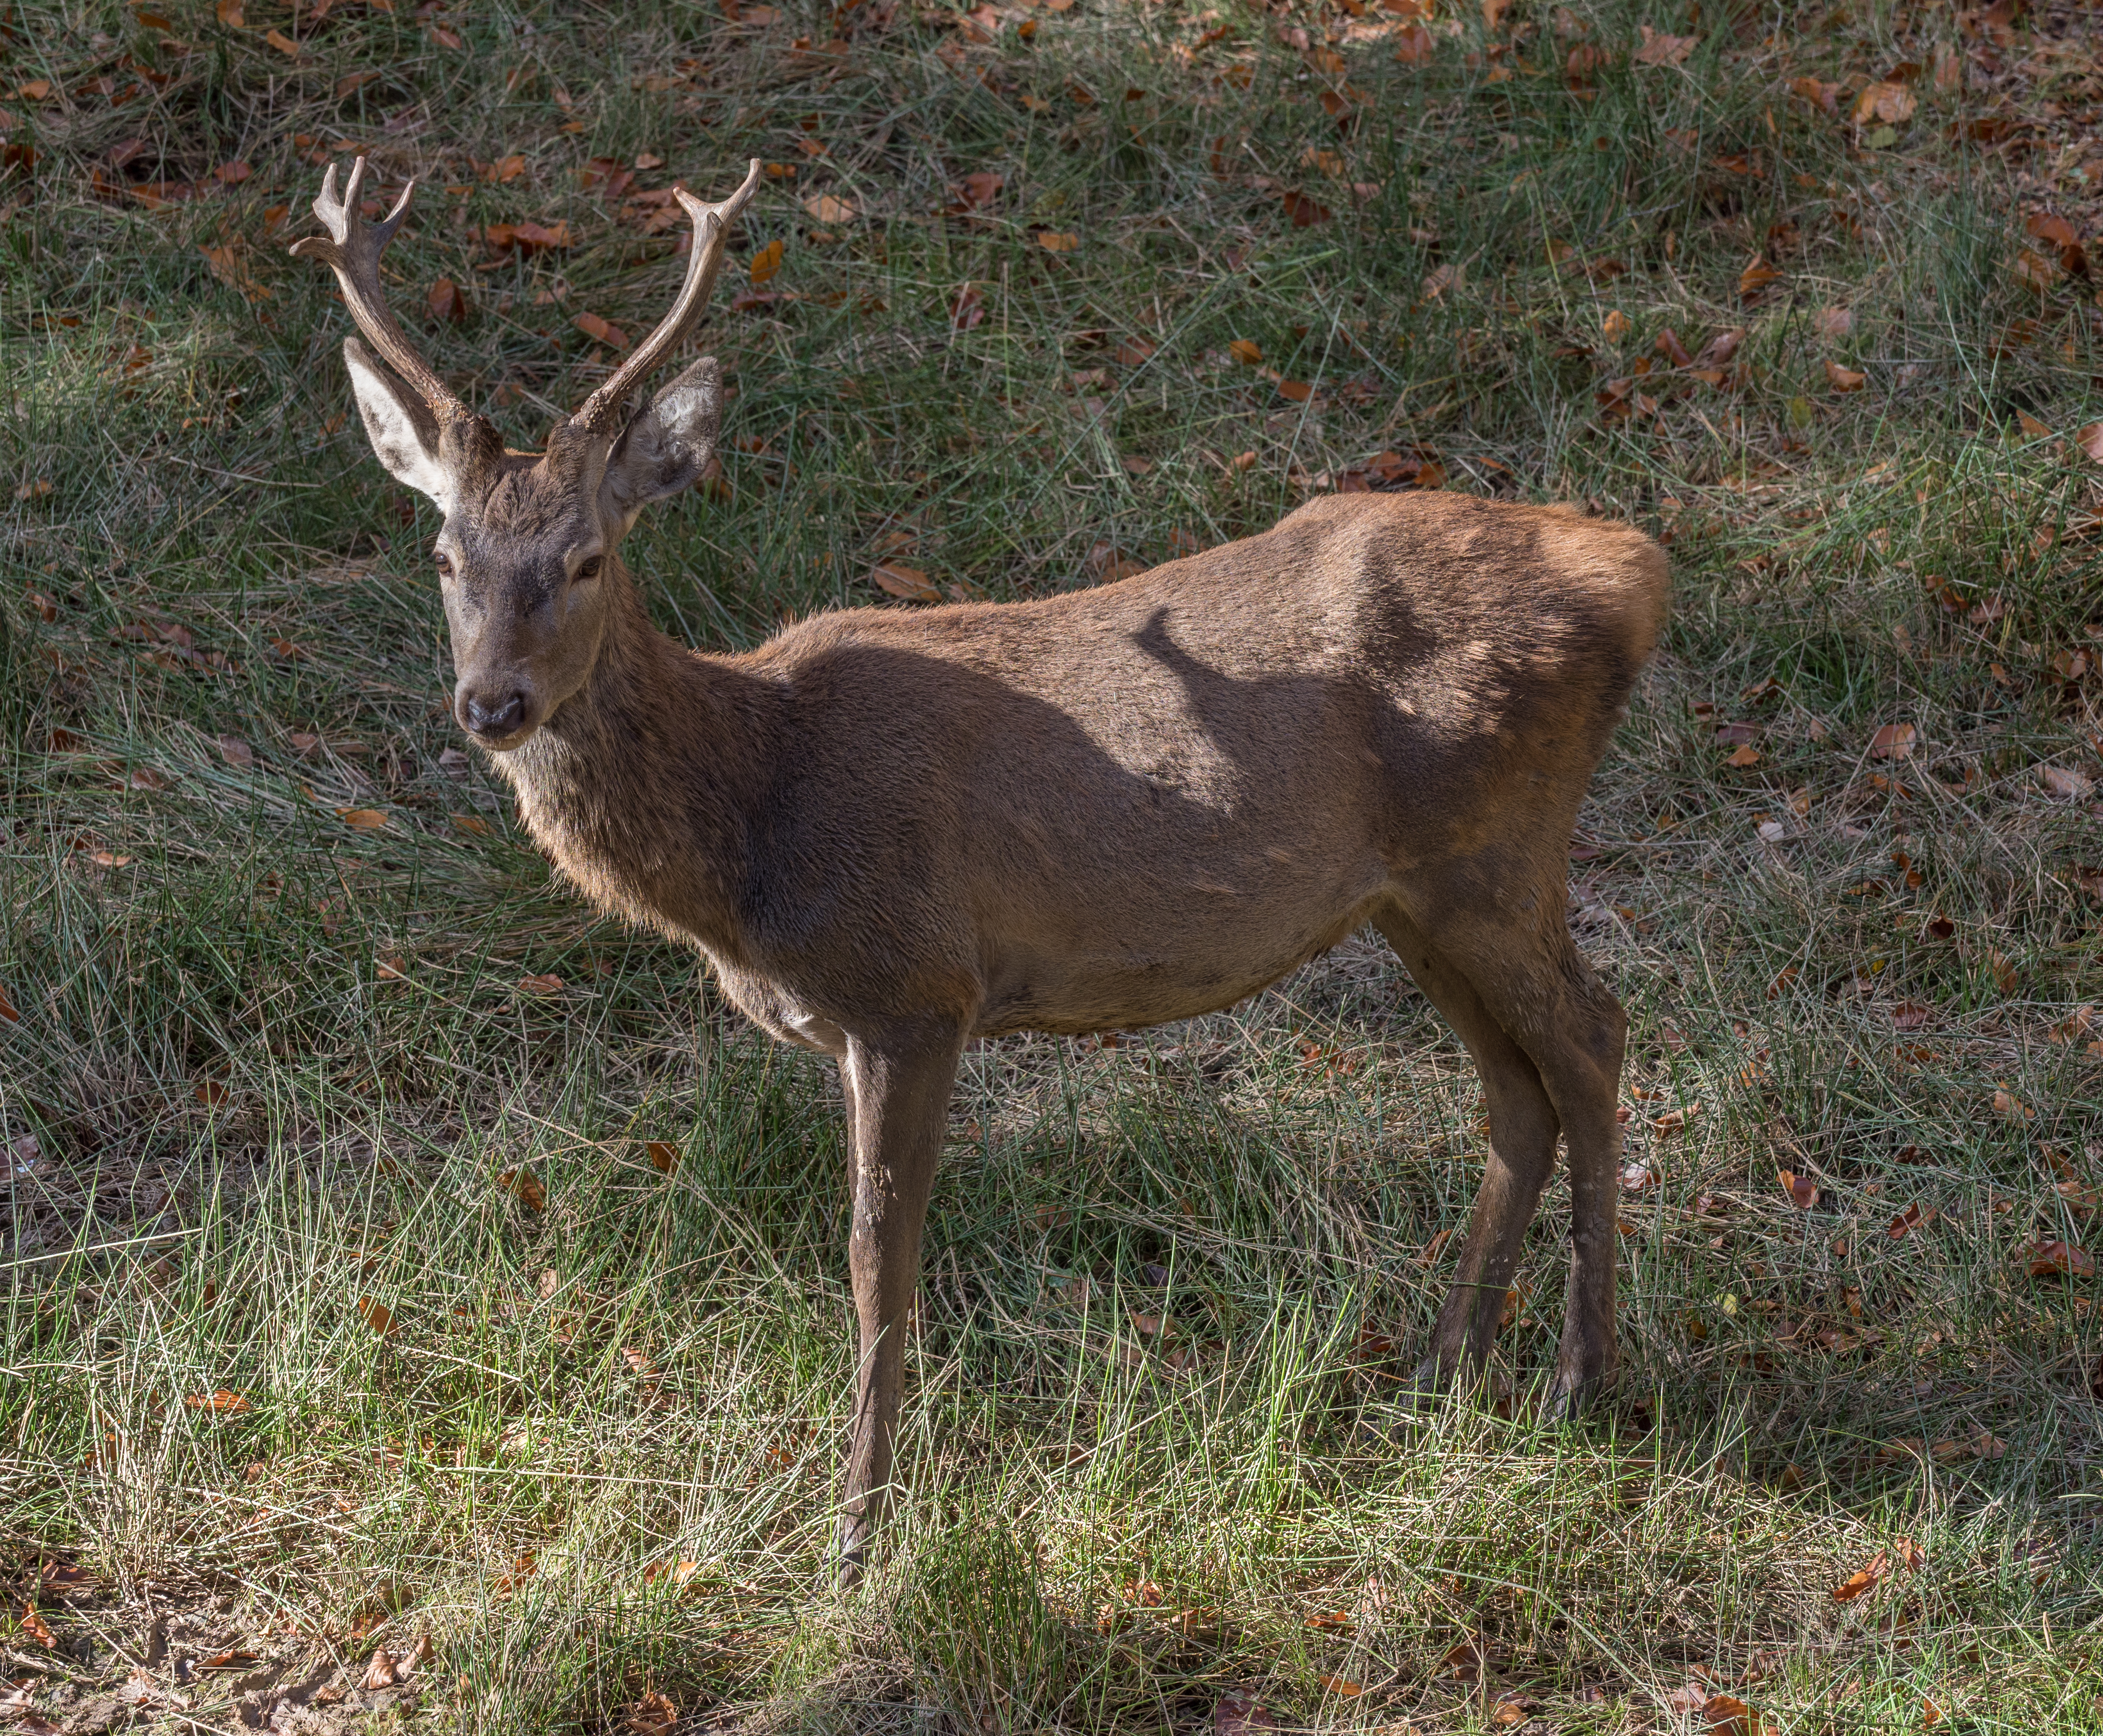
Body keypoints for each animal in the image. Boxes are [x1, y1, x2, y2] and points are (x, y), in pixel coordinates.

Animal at [293, 155, 1669, 1577]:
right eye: (444, 557)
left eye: (585, 559)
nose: (491, 704)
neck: (757, 821)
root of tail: (1637, 568)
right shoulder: (858, 1015)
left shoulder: (915, 983)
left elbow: (874, 1257)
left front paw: (859, 1532)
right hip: (1410, 893)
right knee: (1515, 1087)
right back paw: (1442, 1370)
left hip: (1495, 846)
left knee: (1591, 1037)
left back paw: (1580, 1378)